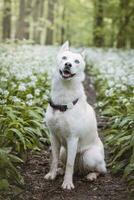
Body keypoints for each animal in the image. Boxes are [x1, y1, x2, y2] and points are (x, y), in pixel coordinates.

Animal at [45, 41, 107, 189]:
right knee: (67, 163)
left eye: (77, 61)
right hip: (64, 151)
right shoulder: (53, 136)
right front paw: (52, 174)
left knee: (101, 170)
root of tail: (80, 170)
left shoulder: (73, 138)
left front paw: (67, 183)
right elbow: (54, 159)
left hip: (89, 157)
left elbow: (69, 164)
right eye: (64, 58)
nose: (68, 64)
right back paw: (60, 171)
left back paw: (91, 175)